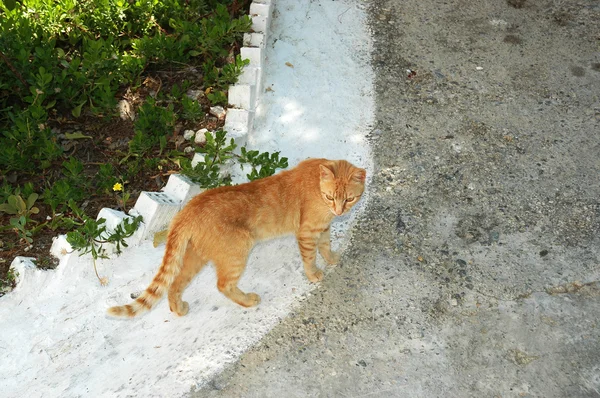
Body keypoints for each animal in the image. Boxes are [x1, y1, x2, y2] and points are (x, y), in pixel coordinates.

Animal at [106, 158, 366, 318]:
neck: (317, 185)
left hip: (196, 257)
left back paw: (178, 309)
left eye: (349, 199)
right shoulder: (307, 232)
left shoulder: (323, 228)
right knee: (223, 285)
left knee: (175, 283)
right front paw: (314, 274)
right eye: (330, 197)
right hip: (238, 250)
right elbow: (310, 257)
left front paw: (332, 258)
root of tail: (188, 209)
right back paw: (248, 300)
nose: (339, 211)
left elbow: (326, 245)